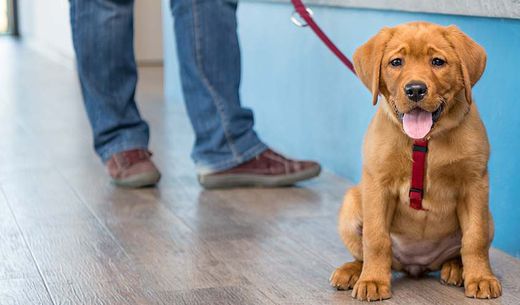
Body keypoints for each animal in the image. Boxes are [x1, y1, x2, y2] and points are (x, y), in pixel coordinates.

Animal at [330, 21, 500, 300]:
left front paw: (480, 278)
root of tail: (417, 265)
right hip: (351, 205)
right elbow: (376, 239)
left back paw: (456, 268)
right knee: (366, 252)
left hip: (490, 218)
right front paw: (373, 281)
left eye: (438, 62)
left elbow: (474, 238)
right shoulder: (377, 185)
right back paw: (354, 271)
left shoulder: (474, 184)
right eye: (396, 62)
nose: (415, 90)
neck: (424, 140)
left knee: (462, 247)